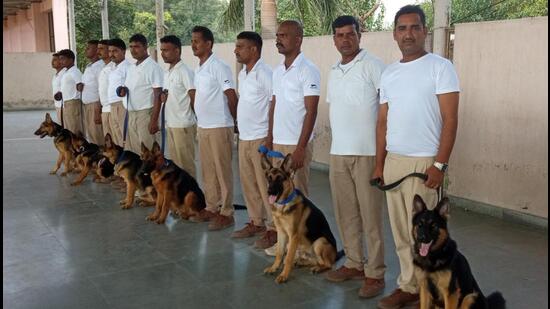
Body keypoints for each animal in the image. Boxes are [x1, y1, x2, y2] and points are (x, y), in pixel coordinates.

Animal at [262, 153, 340, 282]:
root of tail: (336, 254)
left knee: (328, 264)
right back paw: (301, 263)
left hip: (319, 242)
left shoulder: (293, 236)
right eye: (269, 178)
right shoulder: (281, 233)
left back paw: (317, 269)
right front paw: (274, 268)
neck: (283, 205)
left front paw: (284, 275)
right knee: (315, 261)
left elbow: (288, 257)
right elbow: (279, 253)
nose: (269, 191)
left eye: (279, 178)